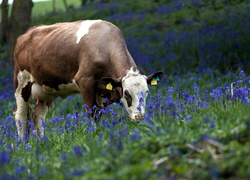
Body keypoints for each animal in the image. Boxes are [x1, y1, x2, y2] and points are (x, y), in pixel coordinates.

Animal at [13, 20, 164, 141]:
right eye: (126, 93)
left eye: (147, 92)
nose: (140, 117)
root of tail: (27, 33)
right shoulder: (85, 81)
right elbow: (92, 112)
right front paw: (95, 134)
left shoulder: (101, 91)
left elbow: (99, 113)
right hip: (21, 82)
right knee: (20, 115)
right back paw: (23, 145)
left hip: (44, 91)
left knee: (38, 117)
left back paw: (42, 143)